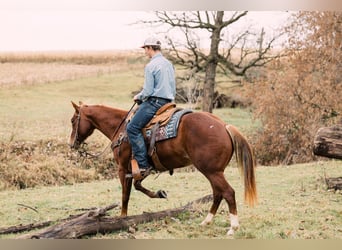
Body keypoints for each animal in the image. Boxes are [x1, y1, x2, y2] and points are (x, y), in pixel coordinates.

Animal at [69, 100, 256, 235]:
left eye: (72, 121)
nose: (71, 144)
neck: (121, 128)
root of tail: (224, 126)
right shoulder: (142, 168)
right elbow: (138, 185)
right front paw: (159, 193)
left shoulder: (123, 169)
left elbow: (125, 195)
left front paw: (122, 219)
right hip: (213, 172)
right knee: (218, 193)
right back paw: (206, 221)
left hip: (212, 171)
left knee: (228, 192)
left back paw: (233, 228)